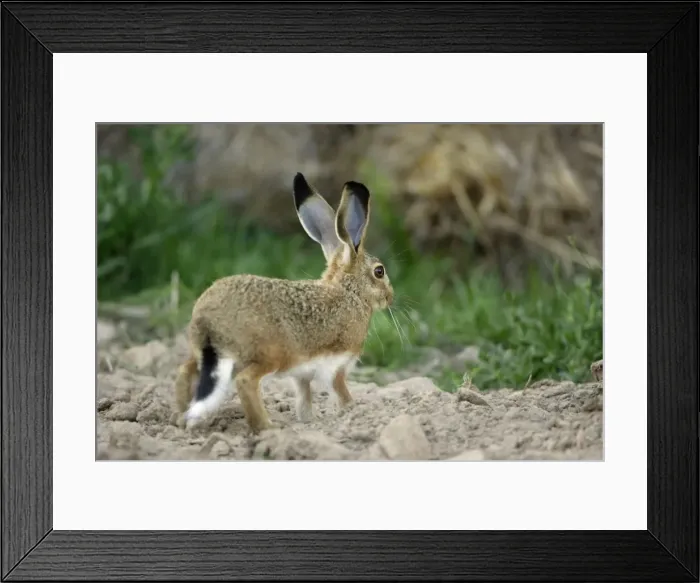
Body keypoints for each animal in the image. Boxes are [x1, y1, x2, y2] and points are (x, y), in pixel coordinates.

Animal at [173, 172, 394, 433]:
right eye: (379, 272)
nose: (390, 297)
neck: (350, 292)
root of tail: (210, 322)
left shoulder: (302, 375)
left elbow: (304, 397)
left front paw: (308, 420)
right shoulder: (337, 365)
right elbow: (340, 390)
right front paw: (352, 410)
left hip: (203, 352)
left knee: (184, 372)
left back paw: (181, 418)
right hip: (270, 355)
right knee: (245, 382)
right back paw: (267, 427)